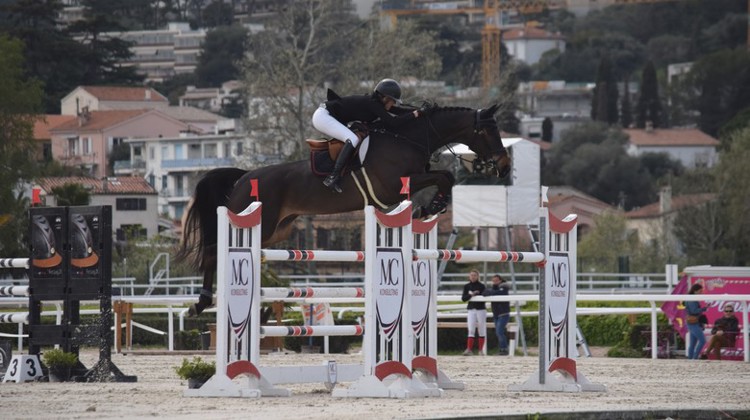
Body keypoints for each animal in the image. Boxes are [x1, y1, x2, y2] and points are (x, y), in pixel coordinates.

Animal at [179, 103, 516, 316]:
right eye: (488, 132)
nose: (503, 166)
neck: (409, 137)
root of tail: (242, 177)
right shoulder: (394, 185)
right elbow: (443, 176)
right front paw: (431, 205)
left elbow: (445, 177)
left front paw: (431, 207)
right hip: (254, 222)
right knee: (212, 252)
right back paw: (200, 303)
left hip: (277, 231)